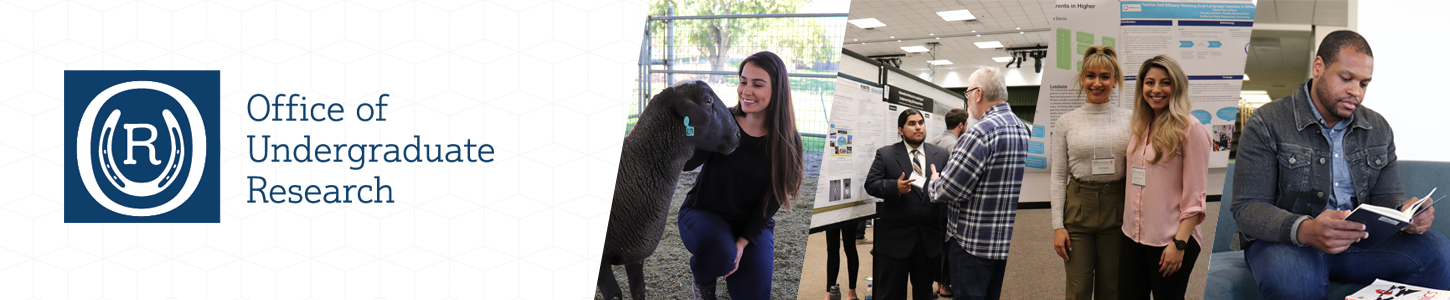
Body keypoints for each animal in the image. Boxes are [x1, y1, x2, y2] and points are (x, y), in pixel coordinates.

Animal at [597, 80, 742, 300]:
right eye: (708, 100)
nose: (738, 135)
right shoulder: (604, 262)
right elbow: (614, 293)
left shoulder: (635, 253)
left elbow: (639, 290)